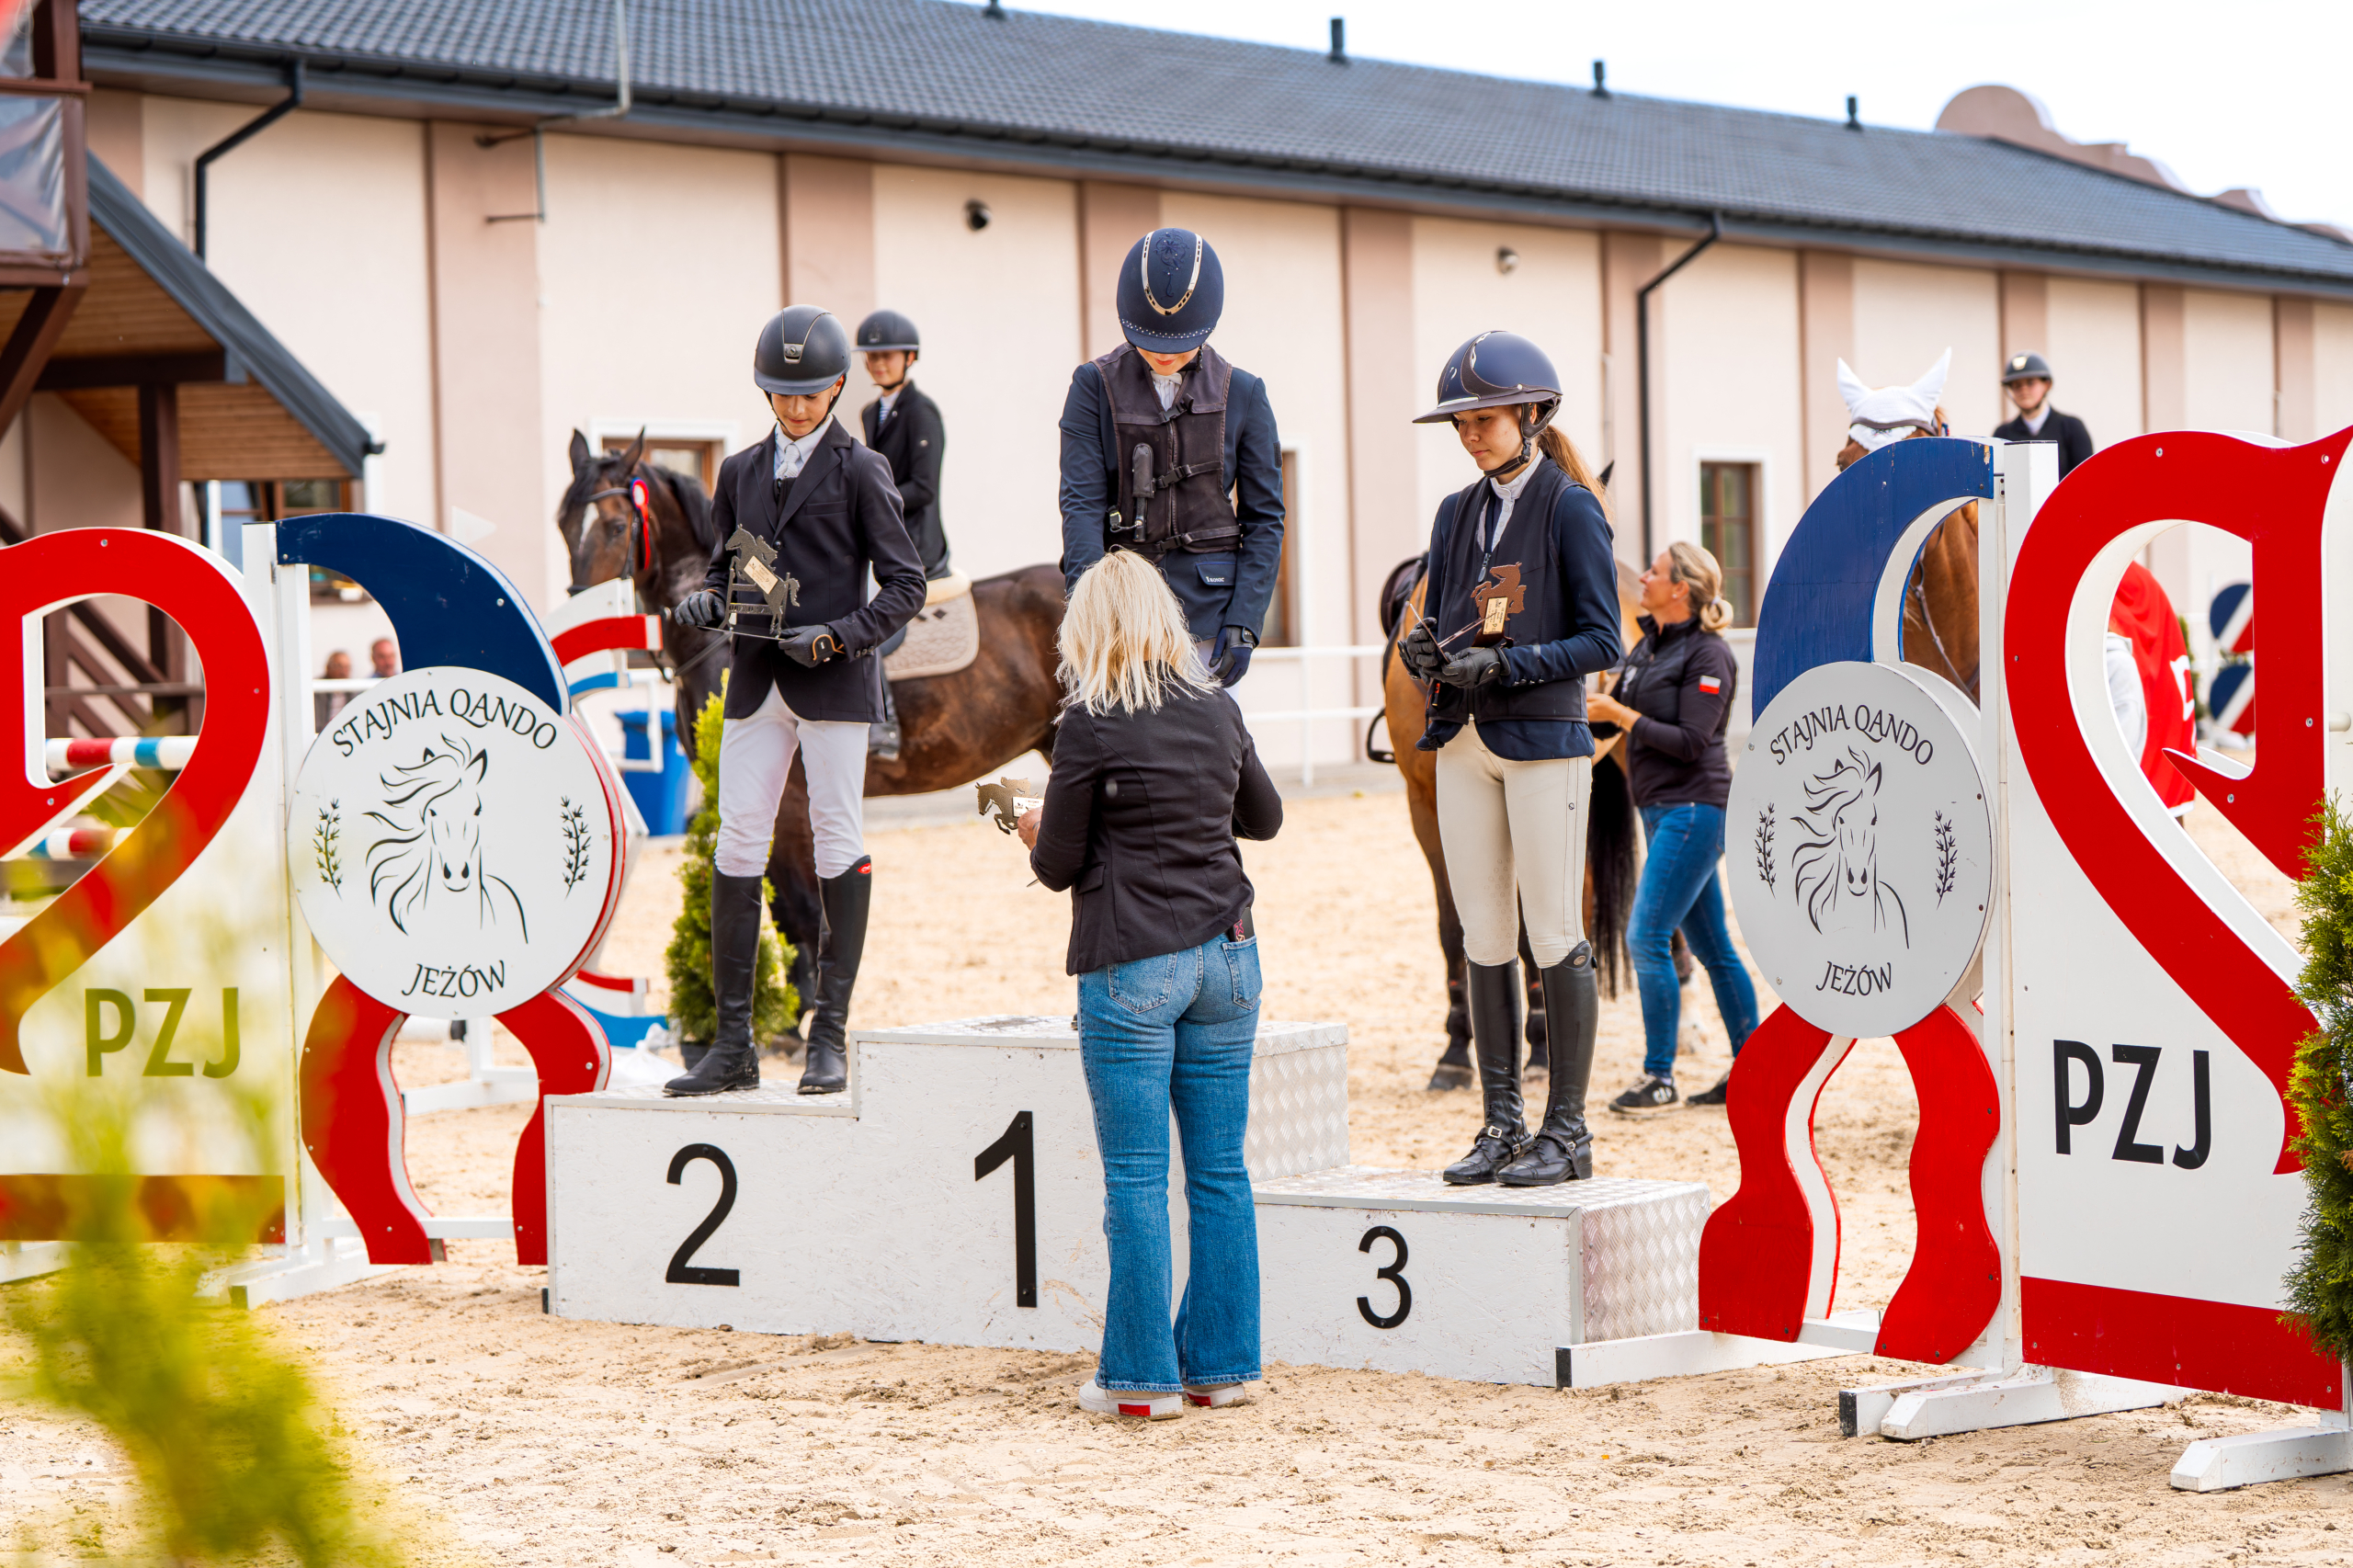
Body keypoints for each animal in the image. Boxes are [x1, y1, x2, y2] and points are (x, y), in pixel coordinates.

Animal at [557, 430, 1069, 1024]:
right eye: (563, 524)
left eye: (617, 526)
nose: (580, 610)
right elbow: (776, 897)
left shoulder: (796, 791)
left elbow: (801, 901)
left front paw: (798, 1013)